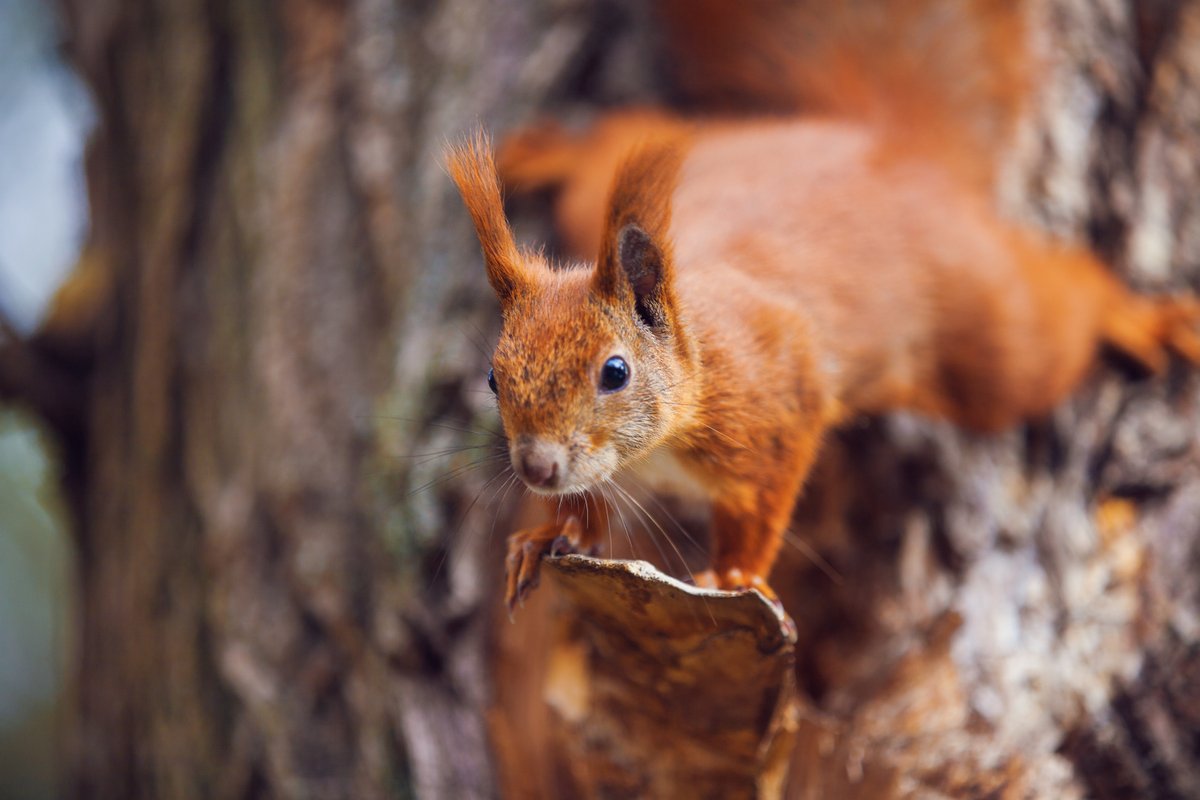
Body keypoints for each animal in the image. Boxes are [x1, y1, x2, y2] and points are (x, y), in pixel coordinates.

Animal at [446, 0, 1200, 612]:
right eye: (493, 378)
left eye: (615, 372)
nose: (535, 469)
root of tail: (877, 139)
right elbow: (590, 505)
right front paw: (550, 531)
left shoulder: (781, 402)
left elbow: (761, 510)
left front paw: (735, 576)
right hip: (633, 184)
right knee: (620, 146)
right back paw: (556, 150)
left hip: (993, 339)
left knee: (1055, 318)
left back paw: (1133, 314)